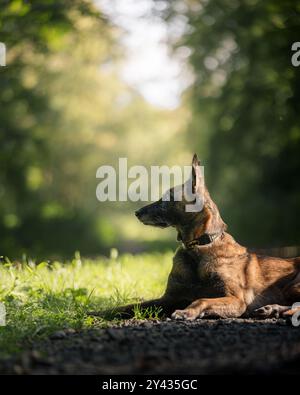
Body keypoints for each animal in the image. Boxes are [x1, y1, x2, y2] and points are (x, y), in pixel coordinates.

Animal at [99, 155, 300, 322]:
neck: (197, 248)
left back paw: (274, 310)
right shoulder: (168, 298)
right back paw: (273, 309)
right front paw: (98, 313)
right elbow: (128, 306)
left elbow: (201, 299)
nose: (137, 212)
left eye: (167, 198)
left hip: (293, 285)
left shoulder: (235, 299)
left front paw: (186, 311)